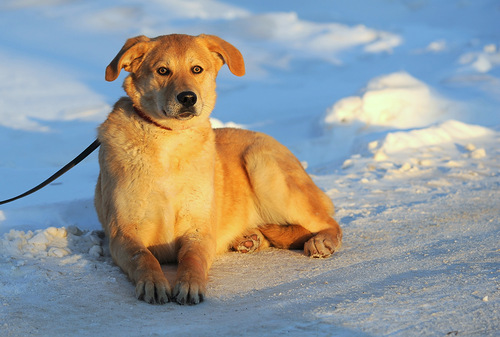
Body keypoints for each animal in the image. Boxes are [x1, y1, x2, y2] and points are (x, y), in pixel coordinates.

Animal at [94, 34, 342, 304]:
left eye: (196, 69)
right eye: (162, 70)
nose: (188, 98)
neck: (170, 142)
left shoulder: (199, 230)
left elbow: (192, 259)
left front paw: (190, 283)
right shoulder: (123, 233)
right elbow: (143, 257)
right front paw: (153, 282)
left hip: (263, 166)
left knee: (330, 223)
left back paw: (321, 241)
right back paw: (250, 238)